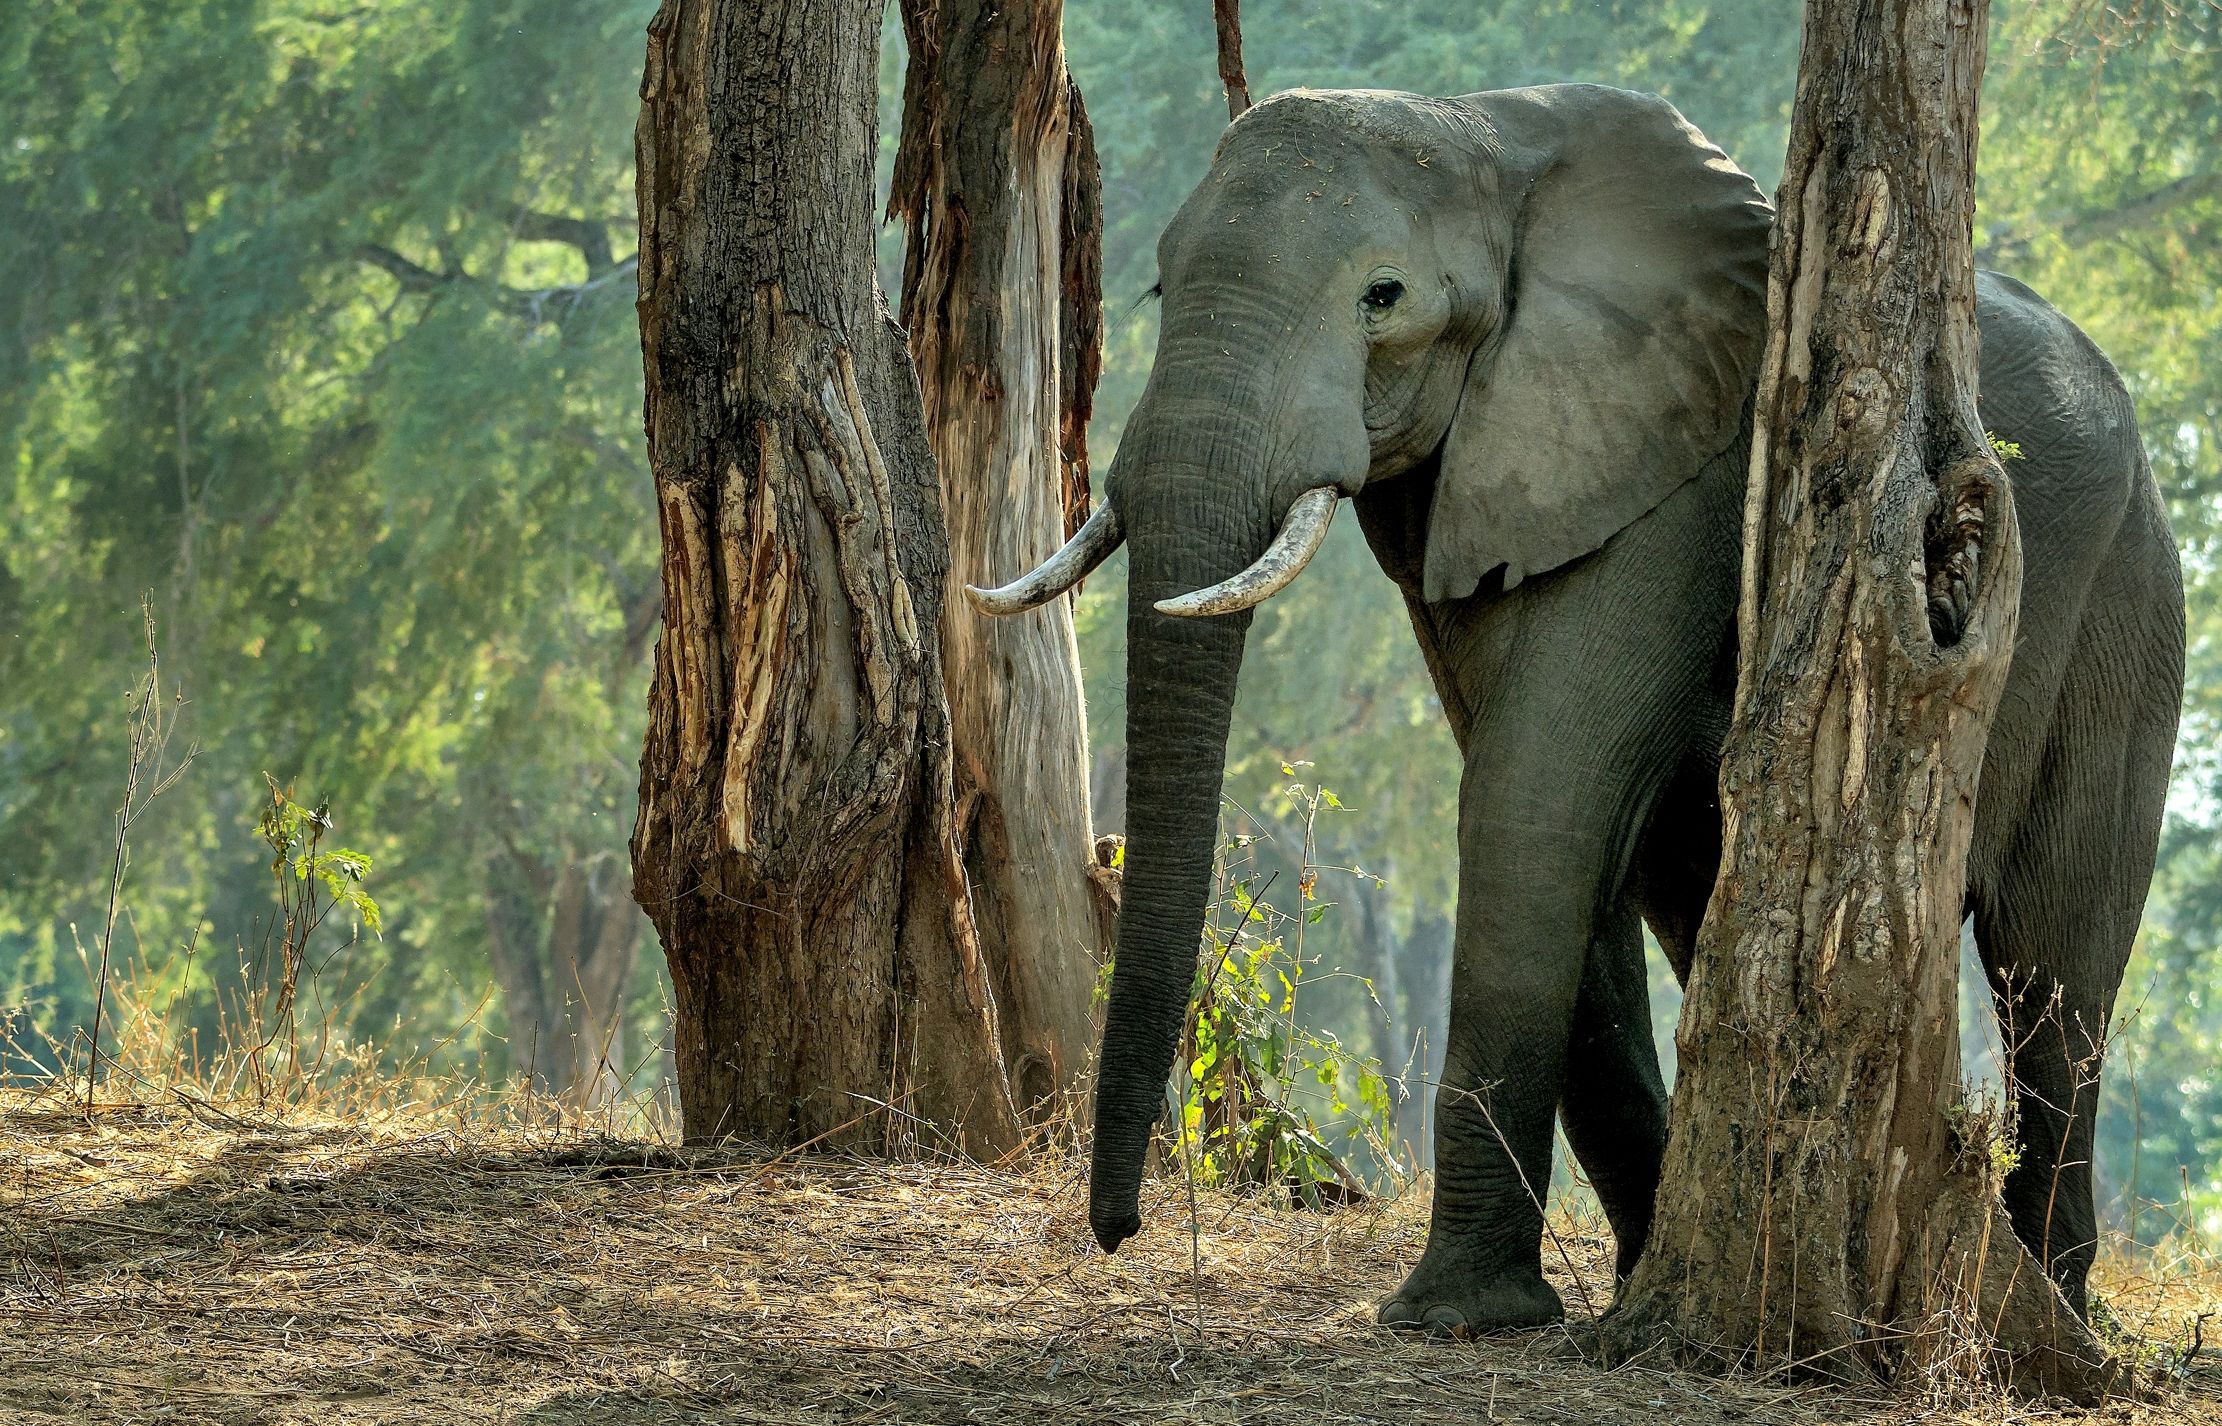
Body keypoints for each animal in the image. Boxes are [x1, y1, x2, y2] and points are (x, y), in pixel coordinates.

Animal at [967, 84, 2185, 1331]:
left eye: (1381, 297)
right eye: (1160, 285)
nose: (1118, 1231)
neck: (1485, 136)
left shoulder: (1679, 473)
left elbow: (1532, 792)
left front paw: (1453, 1318)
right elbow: (1567, 825)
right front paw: (1606, 1291)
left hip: (2126, 603)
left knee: (2053, 968)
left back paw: (2053, 1302)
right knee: (1705, 908)